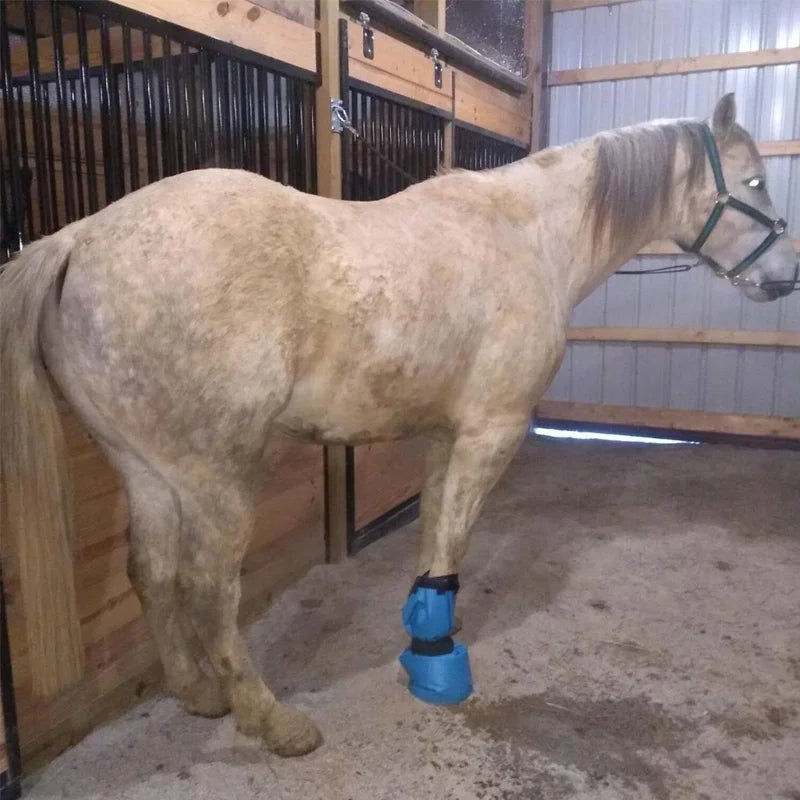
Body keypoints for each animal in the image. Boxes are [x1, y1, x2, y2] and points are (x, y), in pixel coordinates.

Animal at [1, 93, 796, 757]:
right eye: (756, 182)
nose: (783, 278)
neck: (530, 236)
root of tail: (78, 239)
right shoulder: (492, 431)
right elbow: (453, 536)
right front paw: (440, 661)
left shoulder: (450, 434)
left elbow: (435, 530)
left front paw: (428, 629)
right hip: (215, 475)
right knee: (209, 588)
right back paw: (271, 719)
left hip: (145, 468)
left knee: (152, 571)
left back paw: (198, 693)